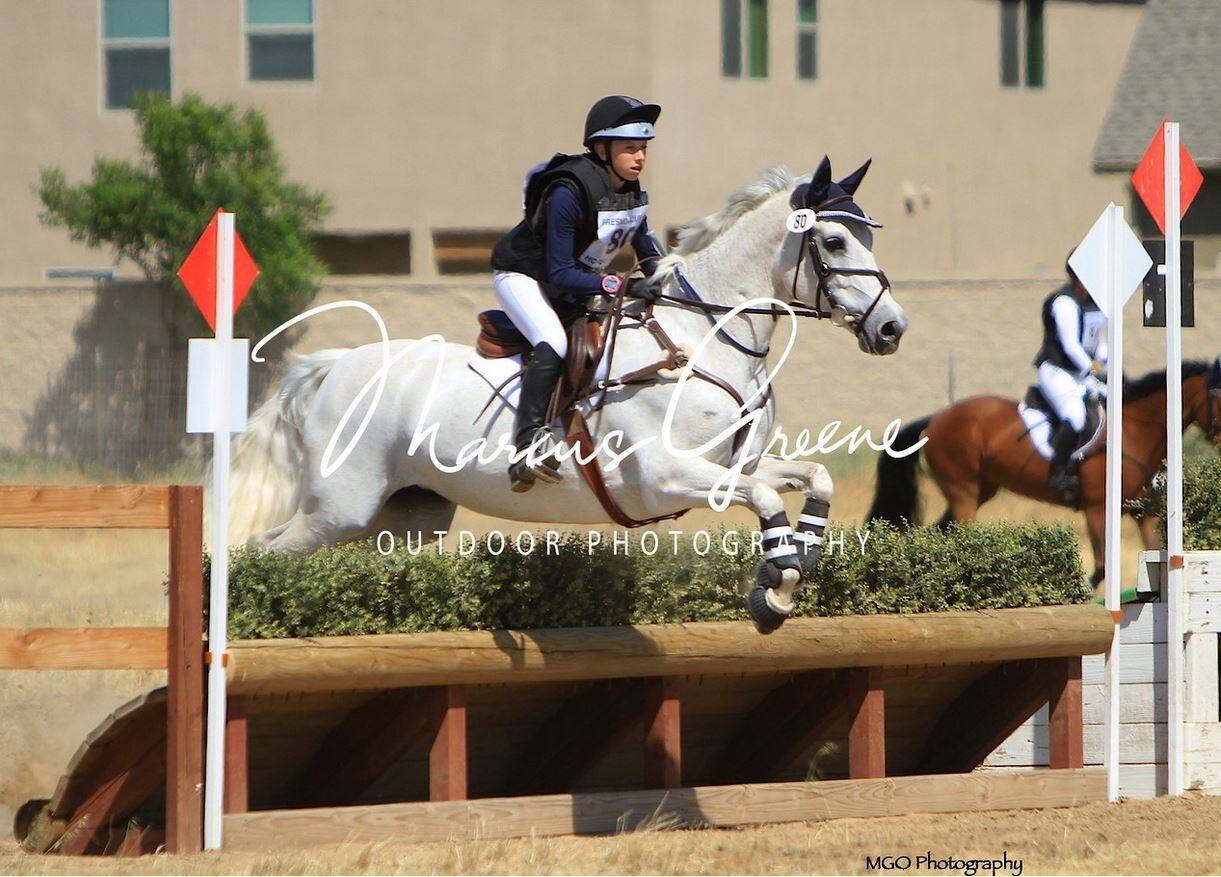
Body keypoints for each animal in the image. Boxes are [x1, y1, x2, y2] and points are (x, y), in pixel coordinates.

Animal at [222, 157, 908, 630]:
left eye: (870, 238)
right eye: (834, 241)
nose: (891, 328)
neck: (705, 339)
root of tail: (336, 365)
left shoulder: (732, 464)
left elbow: (814, 477)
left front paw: (803, 559)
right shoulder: (665, 477)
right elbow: (766, 498)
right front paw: (775, 589)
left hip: (405, 515)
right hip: (341, 507)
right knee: (266, 550)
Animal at [869, 361, 1221, 586]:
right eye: (1218, 398)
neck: (1134, 431)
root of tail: (936, 418)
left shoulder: (1142, 512)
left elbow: (1152, 552)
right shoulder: (1097, 509)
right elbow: (1102, 568)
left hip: (982, 489)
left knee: (942, 532)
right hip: (963, 489)